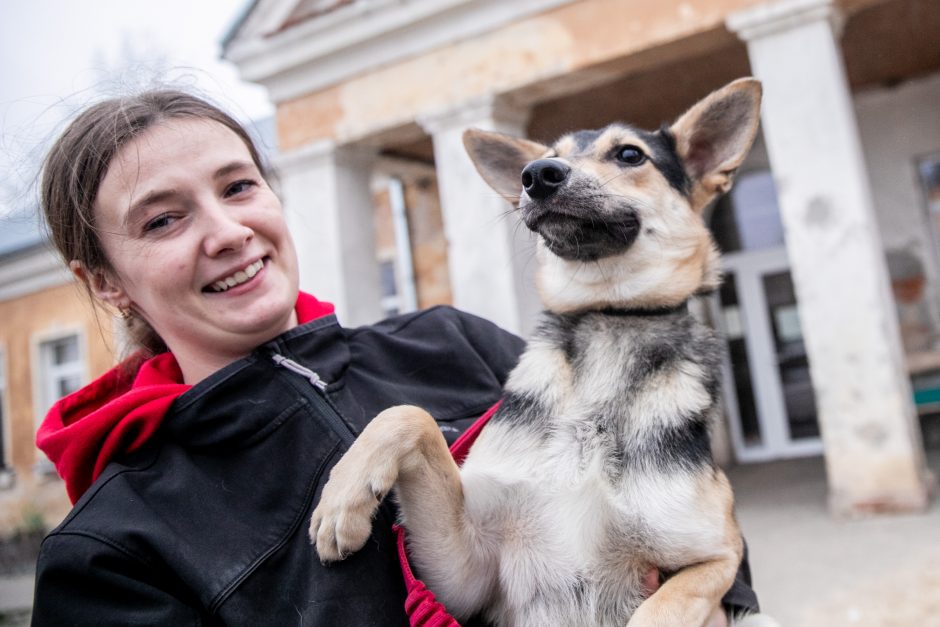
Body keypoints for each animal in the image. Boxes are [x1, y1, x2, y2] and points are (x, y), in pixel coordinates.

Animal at [308, 79, 772, 627]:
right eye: (551, 155)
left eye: (629, 154)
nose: (537, 175)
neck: (609, 316)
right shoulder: (463, 575)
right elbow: (407, 414)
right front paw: (342, 499)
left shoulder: (718, 556)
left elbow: (660, 611)